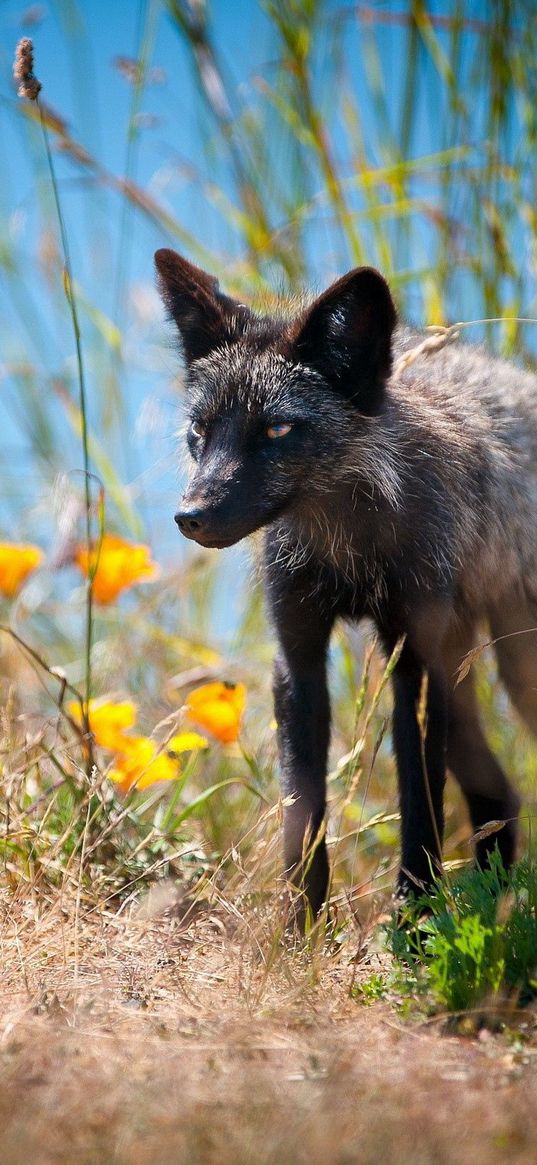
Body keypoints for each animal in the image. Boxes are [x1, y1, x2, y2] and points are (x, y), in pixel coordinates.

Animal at [152, 245, 535, 918]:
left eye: (276, 430)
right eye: (201, 430)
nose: (189, 516)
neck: (348, 550)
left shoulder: (414, 667)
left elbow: (420, 808)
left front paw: (414, 922)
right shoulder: (298, 660)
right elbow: (302, 819)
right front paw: (297, 932)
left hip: (507, 670)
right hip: (463, 671)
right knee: (500, 799)